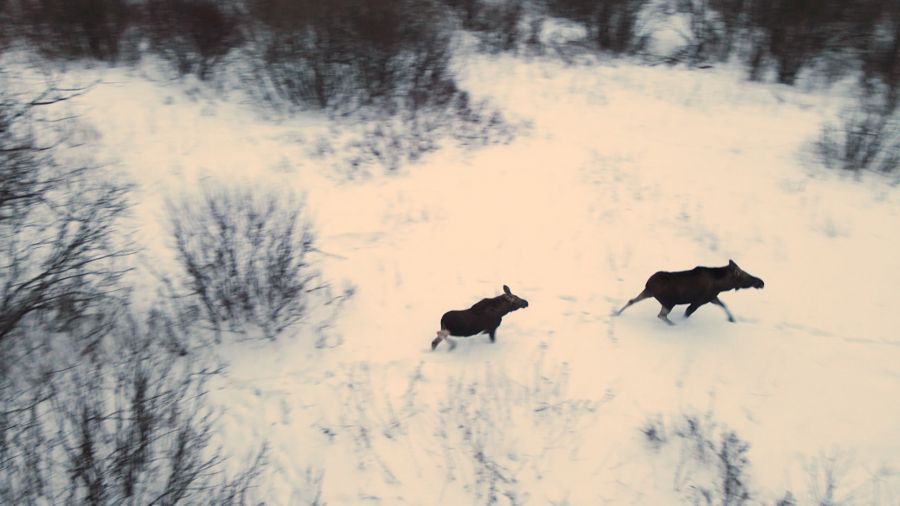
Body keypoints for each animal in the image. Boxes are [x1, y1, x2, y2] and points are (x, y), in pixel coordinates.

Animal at [616, 258, 764, 326]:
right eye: (743, 275)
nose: (761, 282)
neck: (721, 286)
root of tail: (648, 284)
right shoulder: (699, 301)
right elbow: (687, 313)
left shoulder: (712, 298)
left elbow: (724, 305)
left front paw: (732, 319)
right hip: (669, 302)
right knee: (661, 315)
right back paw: (674, 325)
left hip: (648, 294)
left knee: (632, 300)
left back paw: (616, 313)